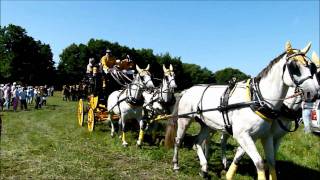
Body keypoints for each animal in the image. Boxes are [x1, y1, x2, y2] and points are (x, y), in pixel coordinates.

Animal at [164, 42, 318, 180]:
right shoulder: (242, 136)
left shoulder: (266, 136)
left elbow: (271, 162)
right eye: (294, 67)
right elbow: (259, 163)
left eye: (312, 67)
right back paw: (176, 164)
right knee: (178, 140)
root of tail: (187, 90)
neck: (257, 99)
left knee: (197, 142)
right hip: (184, 120)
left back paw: (204, 167)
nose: (314, 93)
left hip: (207, 125)